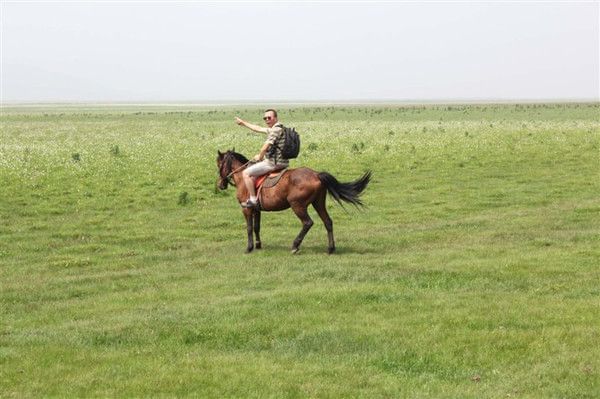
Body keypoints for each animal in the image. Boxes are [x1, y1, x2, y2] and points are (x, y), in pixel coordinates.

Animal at [213, 148, 368, 255]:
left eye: (219, 165)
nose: (220, 185)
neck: (243, 177)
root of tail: (316, 174)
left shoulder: (246, 209)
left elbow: (249, 228)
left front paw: (249, 248)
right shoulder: (257, 209)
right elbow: (257, 227)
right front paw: (258, 245)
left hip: (297, 205)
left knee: (307, 223)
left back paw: (295, 246)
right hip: (318, 203)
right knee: (328, 222)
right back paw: (330, 248)